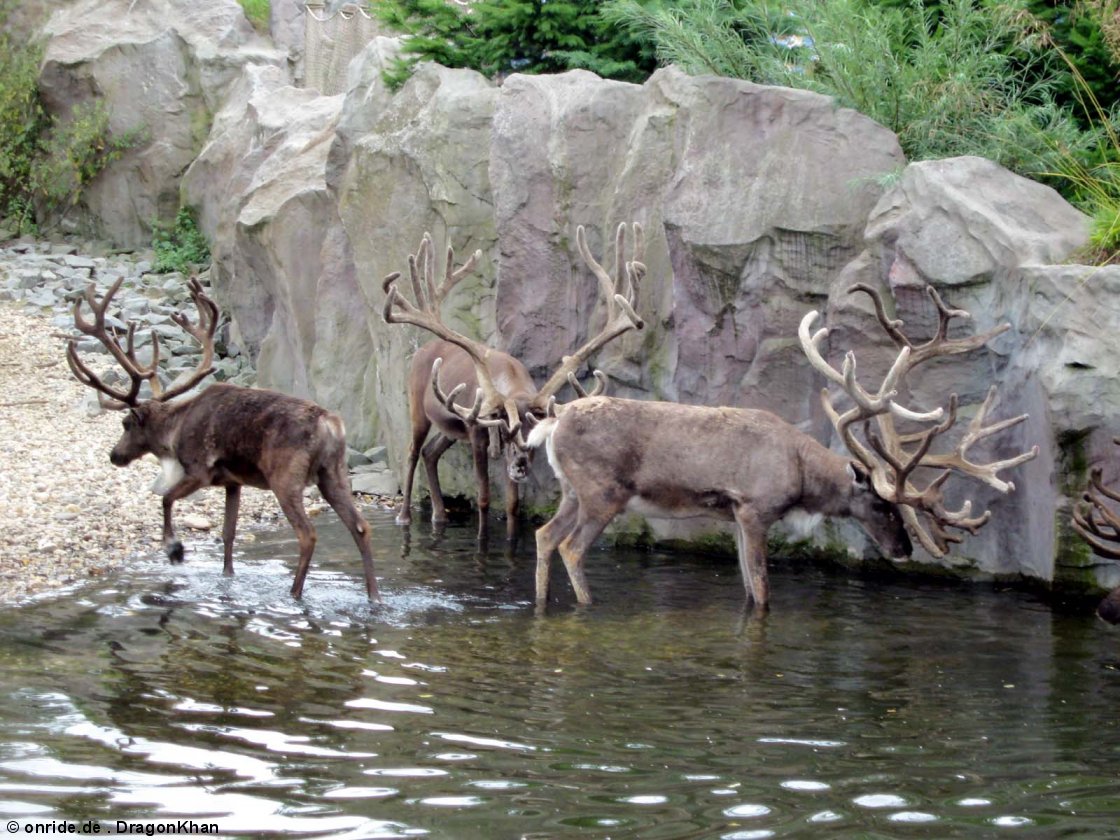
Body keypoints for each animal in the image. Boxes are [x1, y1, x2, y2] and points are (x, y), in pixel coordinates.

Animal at [64, 275, 379, 601]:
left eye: (126, 424)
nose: (115, 455)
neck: (175, 431)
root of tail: (331, 425)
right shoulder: (232, 482)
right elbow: (229, 533)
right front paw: (227, 575)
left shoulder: (199, 470)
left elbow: (165, 499)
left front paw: (175, 550)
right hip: (333, 472)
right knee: (361, 526)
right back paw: (373, 596)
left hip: (285, 478)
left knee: (307, 534)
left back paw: (294, 593)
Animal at [382, 223, 645, 537]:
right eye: (507, 429)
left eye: (536, 434)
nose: (520, 466)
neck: (515, 389)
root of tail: (422, 350)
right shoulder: (477, 430)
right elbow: (483, 498)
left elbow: (512, 505)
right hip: (418, 406)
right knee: (412, 452)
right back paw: (404, 516)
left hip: (451, 427)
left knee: (430, 453)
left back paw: (439, 515)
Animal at [527, 283, 1038, 608]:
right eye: (882, 505)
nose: (903, 550)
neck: (801, 476)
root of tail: (553, 422)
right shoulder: (755, 506)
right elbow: (762, 592)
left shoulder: (734, 515)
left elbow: (747, 588)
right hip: (602, 492)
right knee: (571, 547)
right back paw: (586, 605)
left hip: (572, 491)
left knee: (544, 535)